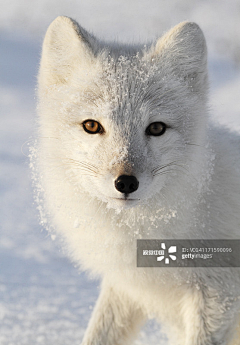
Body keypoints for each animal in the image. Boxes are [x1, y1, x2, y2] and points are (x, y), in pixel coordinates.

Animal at [33, 15, 240, 344]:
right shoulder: (126, 286)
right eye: (92, 126)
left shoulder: (217, 294)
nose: (126, 183)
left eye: (156, 128)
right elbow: (97, 335)